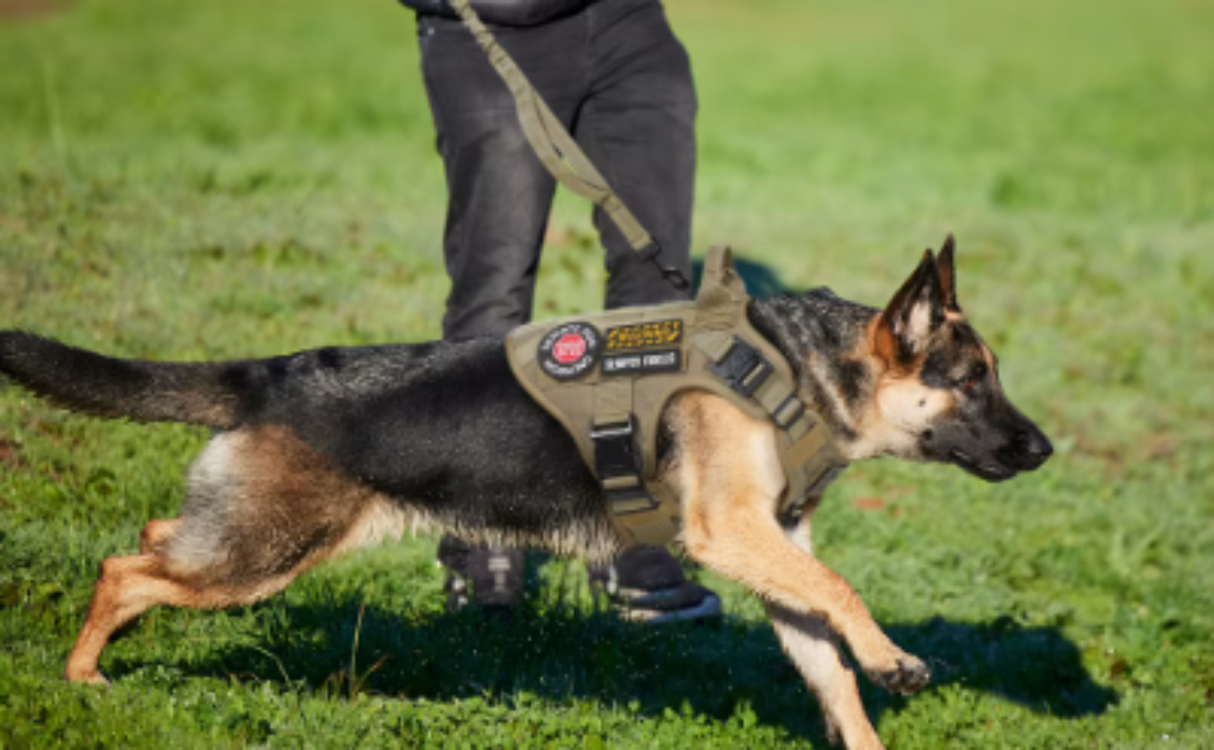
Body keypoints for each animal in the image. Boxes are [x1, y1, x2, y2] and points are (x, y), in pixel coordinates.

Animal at [0, 236, 1048, 742]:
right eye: (972, 380)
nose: (1043, 449)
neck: (795, 368)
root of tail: (269, 375)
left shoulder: (775, 549)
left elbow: (828, 658)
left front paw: (869, 688)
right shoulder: (733, 535)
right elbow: (844, 594)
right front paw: (897, 658)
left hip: (242, 542)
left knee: (151, 537)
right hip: (260, 555)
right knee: (121, 567)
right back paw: (82, 677)